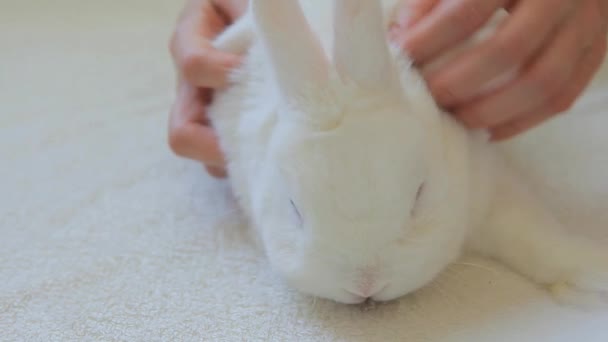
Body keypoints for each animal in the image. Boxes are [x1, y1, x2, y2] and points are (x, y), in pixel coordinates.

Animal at [208, 0, 608, 304]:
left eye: (419, 195)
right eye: (294, 209)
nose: (365, 287)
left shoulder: (484, 180)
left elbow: (533, 235)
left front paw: (593, 270)